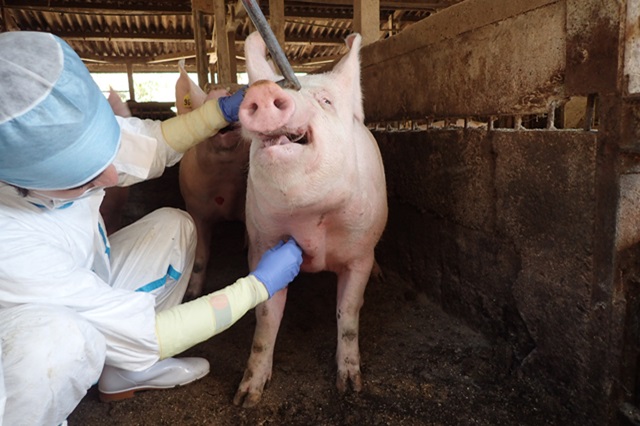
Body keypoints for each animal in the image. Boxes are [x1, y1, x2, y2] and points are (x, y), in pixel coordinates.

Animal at [232, 31, 388, 408]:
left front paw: (350, 387)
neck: (310, 217)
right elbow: (266, 317)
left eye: (326, 101)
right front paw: (245, 398)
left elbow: (348, 313)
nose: (262, 91)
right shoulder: (263, 247)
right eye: (264, 86)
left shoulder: (359, 255)